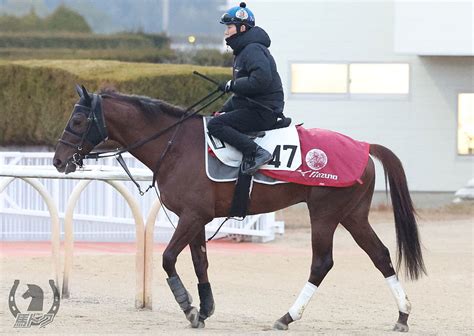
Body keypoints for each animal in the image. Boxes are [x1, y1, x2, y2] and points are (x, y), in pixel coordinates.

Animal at [52, 86, 426, 330]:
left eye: (79, 120)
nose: (58, 160)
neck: (175, 145)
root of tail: (364, 146)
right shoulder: (197, 218)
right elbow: (200, 262)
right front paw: (204, 308)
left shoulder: (191, 217)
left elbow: (168, 258)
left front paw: (187, 305)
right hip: (353, 216)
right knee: (380, 255)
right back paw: (403, 314)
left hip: (325, 215)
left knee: (322, 263)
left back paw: (288, 316)